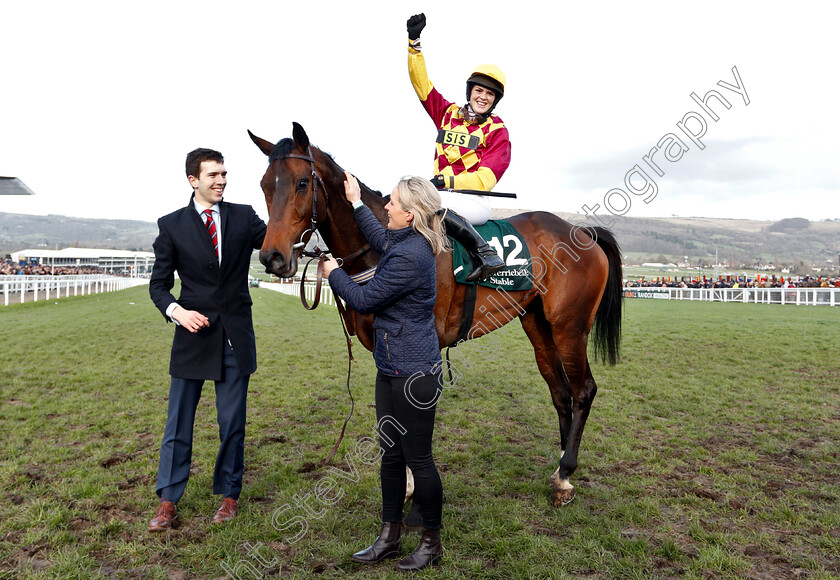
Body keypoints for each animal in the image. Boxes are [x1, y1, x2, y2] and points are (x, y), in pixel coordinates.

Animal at [246, 122, 620, 508]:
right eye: (264, 185)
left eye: (303, 183)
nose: (273, 257)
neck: (385, 246)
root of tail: (582, 231)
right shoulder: (385, 349)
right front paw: (406, 486)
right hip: (537, 323)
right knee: (560, 391)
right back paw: (560, 468)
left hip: (570, 326)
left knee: (583, 390)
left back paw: (566, 472)